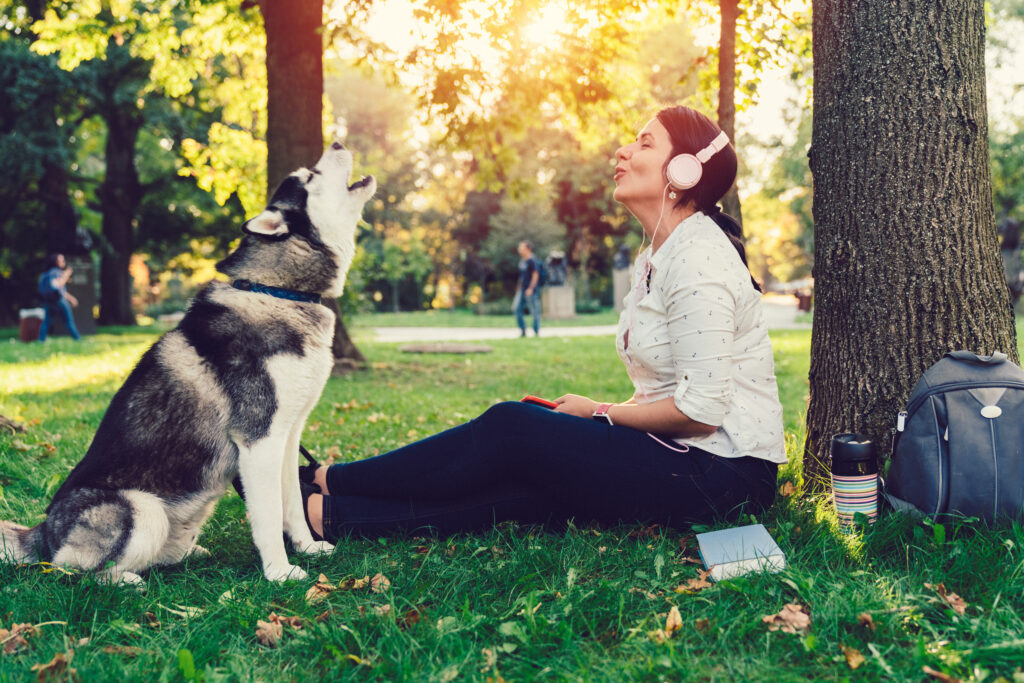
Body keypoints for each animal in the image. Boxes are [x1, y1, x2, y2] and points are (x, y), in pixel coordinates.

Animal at [0, 141, 376, 585]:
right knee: (74, 572)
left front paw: (308, 547)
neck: (278, 292)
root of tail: (43, 531)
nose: (336, 143)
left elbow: (292, 505)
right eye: (310, 177)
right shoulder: (258, 440)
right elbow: (268, 514)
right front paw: (279, 572)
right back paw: (124, 581)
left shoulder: (286, 436)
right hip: (141, 510)